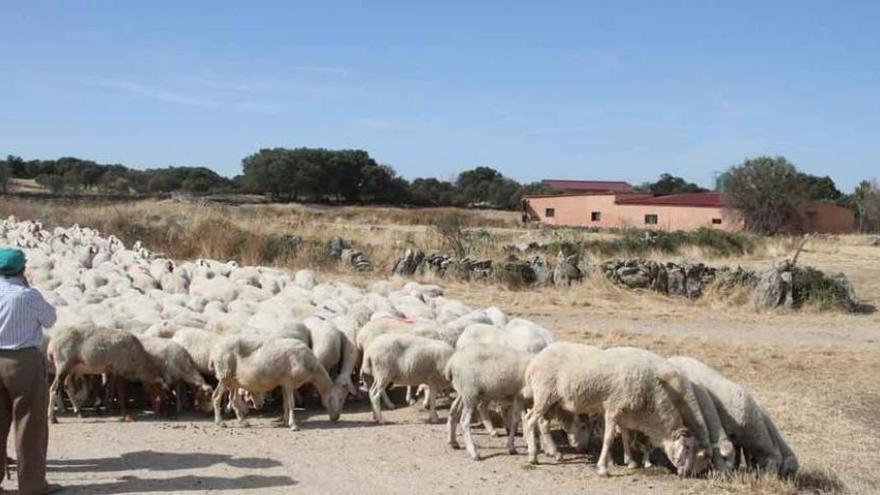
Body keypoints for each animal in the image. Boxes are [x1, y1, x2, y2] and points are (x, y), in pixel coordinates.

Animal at [210, 338, 348, 430]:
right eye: (340, 398)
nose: (336, 417)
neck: (311, 368)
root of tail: (214, 352)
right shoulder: (289, 382)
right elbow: (291, 403)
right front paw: (293, 425)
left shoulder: (283, 383)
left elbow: (285, 403)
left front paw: (286, 421)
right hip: (225, 374)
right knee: (216, 397)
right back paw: (220, 422)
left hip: (233, 380)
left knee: (233, 399)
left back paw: (243, 422)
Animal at [524, 342, 704, 478]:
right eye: (687, 448)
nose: (688, 473)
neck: (649, 401)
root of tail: (534, 362)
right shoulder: (613, 409)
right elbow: (609, 438)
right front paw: (603, 468)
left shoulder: (625, 414)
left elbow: (625, 437)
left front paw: (630, 462)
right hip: (544, 394)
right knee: (529, 420)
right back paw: (532, 456)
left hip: (553, 401)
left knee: (542, 423)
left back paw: (554, 453)